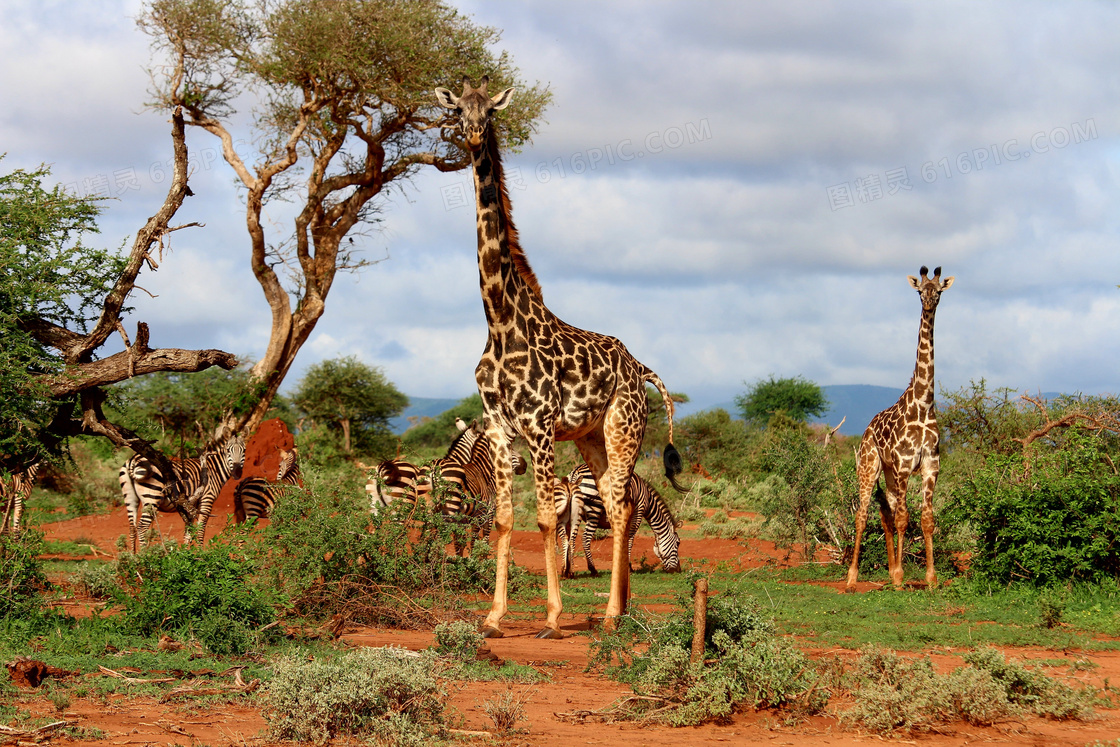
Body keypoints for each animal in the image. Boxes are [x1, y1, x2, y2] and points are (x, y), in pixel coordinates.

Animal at [434, 74, 680, 636]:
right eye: (458, 110)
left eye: (490, 110)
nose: (473, 135)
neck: (500, 321)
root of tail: (641, 368)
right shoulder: (500, 428)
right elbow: (505, 518)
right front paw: (494, 616)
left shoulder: (540, 425)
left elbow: (546, 517)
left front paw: (551, 615)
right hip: (591, 438)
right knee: (619, 503)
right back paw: (620, 609)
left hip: (623, 428)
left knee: (619, 505)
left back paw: (610, 614)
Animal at [846, 265, 954, 591]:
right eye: (920, 291)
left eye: (939, 291)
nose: (929, 303)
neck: (923, 404)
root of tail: (867, 428)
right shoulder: (906, 465)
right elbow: (905, 518)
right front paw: (900, 577)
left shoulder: (930, 465)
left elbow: (926, 518)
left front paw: (930, 578)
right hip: (869, 467)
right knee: (863, 514)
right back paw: (852, 577)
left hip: (890, 474)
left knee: (886, 514)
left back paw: (891, 569)